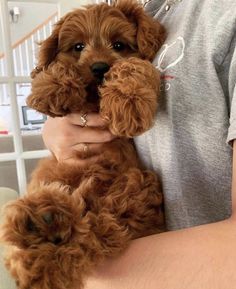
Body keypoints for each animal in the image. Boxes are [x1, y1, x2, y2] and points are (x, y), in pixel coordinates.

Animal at [0, 1, 166, 286]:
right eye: (78, 47)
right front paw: (51, 88)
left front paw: (128, 104)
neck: (94, 101)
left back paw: (48, 234)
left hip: (138, 186)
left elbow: (134, 65)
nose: (99, 67)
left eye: (119, 45)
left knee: (98, 229)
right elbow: (54, 68)